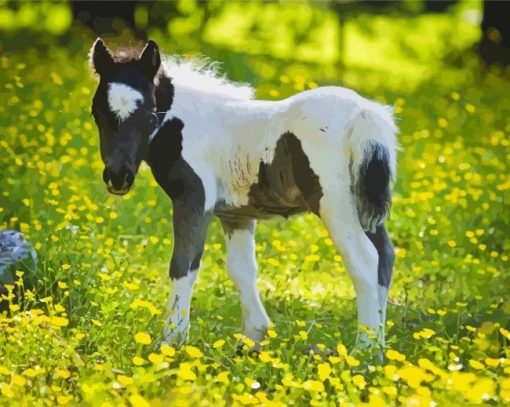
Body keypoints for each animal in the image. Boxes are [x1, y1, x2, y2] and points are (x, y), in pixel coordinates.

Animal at [89, 39, 396, 356]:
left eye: (150, 116)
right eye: (96, 113)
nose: (118, 178)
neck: (189, 125)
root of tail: (363, 115)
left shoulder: (194, 201)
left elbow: (184, 264)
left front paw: (170, 340)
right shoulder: (237, 215)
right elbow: (242, 269)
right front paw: (252, 339)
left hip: (334, 207)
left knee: (364, 260)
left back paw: (364, 350)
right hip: (363, 210)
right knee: (385, 258)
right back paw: (379, 347)